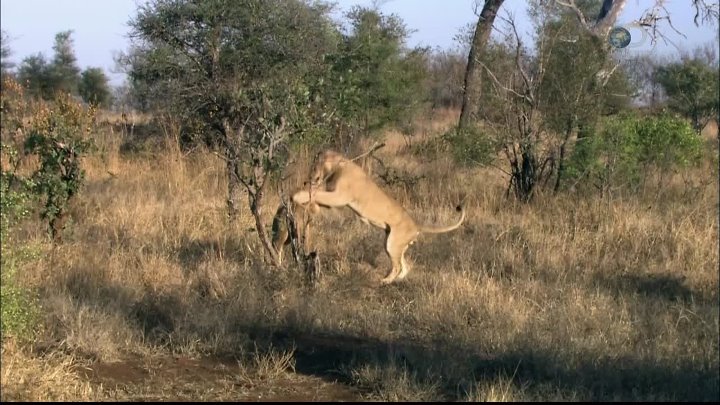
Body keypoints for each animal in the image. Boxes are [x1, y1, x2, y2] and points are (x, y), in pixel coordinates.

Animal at [290, 148, 464, 284]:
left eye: (313, 167)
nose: (308, 180)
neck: (338, 166)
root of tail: (416, 224)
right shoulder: (334, 198)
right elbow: (317, 198)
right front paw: (311, 206)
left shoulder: (340, 197)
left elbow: (317, 194)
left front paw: (298, 196)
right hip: (393, 243)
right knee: (405, 265)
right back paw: (397, 280)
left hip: (392, 243)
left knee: (398, 266)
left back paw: (385, 281)